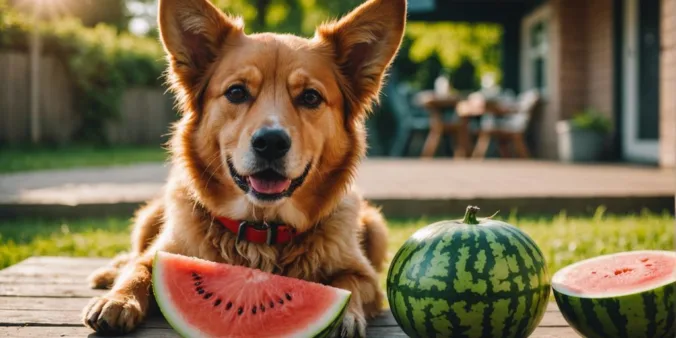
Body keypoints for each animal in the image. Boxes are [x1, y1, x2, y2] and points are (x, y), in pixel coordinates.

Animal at [79, 0, 406, 336]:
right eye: (236, 92)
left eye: (310, 97)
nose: (271, 142)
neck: (261, 228)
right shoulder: (162, 251)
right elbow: (140, 269)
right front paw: (119, 299)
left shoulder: (365, 277)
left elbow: (350, 282)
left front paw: (345, 315)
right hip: (148, 216)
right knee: (132, 255)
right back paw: (110, 272)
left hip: (376, 226)